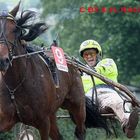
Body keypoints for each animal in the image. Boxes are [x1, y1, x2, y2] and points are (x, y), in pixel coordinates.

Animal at [0, 2, 86, 140]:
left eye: (14, 30)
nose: (2, 60)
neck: (16, 85)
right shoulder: (4, 119)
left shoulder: (43, 122)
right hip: (52, 113)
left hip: (77, 105)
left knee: (80, 130)